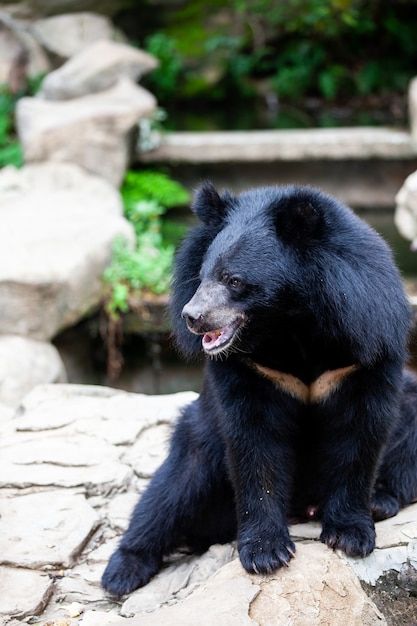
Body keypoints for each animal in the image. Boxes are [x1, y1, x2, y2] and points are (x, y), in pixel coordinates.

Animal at [102, 182, 416, 596]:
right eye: (201, 276)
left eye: (234, 280)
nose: (192, 317)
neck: (293, 324)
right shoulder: (253, 368)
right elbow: (254, 441)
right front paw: (266, 552)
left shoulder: (365, 344)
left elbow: (360, 432)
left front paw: (350, 535)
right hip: (197, 440)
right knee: (170, 492)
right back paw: (122, 571)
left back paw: (381, 500)